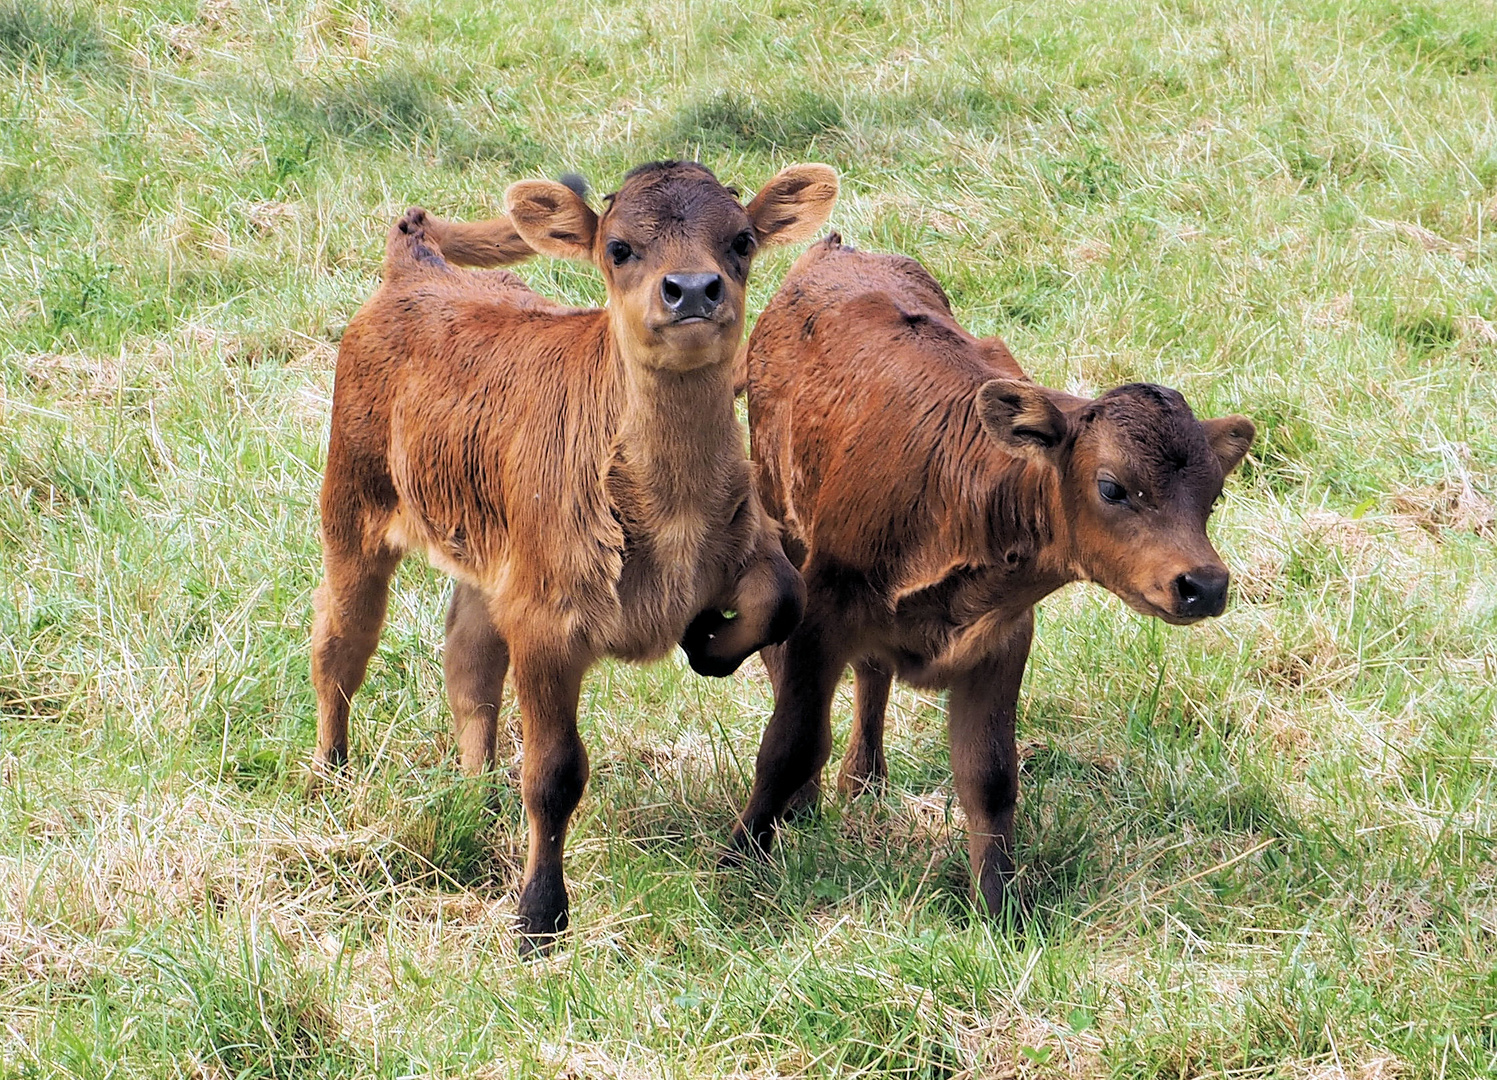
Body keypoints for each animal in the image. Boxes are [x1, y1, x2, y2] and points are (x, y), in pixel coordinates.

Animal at [312, 160, 844, 946]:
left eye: (741, 240)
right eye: (619, 248)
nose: (693, 289)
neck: (671, 508)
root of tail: (416, 267)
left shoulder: (747, 545)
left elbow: (782, 598)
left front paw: (706, 643)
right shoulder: (548, 619)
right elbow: (555, 772)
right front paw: (539, 916)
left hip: (491, 551)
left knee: (468, 658)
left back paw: (479, 793)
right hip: (353, 505)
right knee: (341, 642)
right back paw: (331, 774)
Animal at [733, 232, 1251, 916]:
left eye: (1213, 497)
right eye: (1112, 487)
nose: (1204, 585)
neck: (959, 494)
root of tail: (835, 250)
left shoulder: (1002, 637)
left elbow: (990, 776)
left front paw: (999, 908)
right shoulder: (823, 612)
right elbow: (789, 744)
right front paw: (736, 862)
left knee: (873, 674)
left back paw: (864, 781)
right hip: (782, 527)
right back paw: (810, 799)